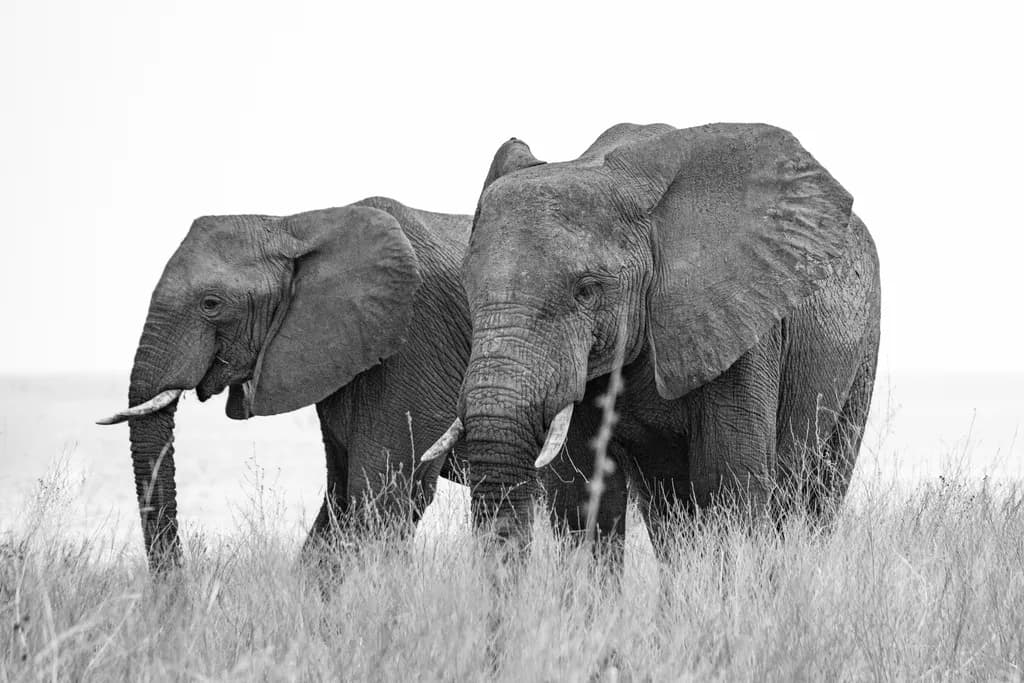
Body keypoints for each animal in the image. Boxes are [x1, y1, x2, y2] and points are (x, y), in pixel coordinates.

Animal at [97, 196, 478, 570]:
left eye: (211, 304)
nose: (180, 585)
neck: (294, 226)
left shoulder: (419, 336)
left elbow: (380, 495)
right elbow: (339, 498)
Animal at [423, 122, 881, 560]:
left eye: (586, 291)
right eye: (467, 287)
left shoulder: (744, 324)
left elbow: (729, 480)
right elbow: (581, 494)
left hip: (864, 347)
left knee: (817, 491)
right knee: (670, 514)